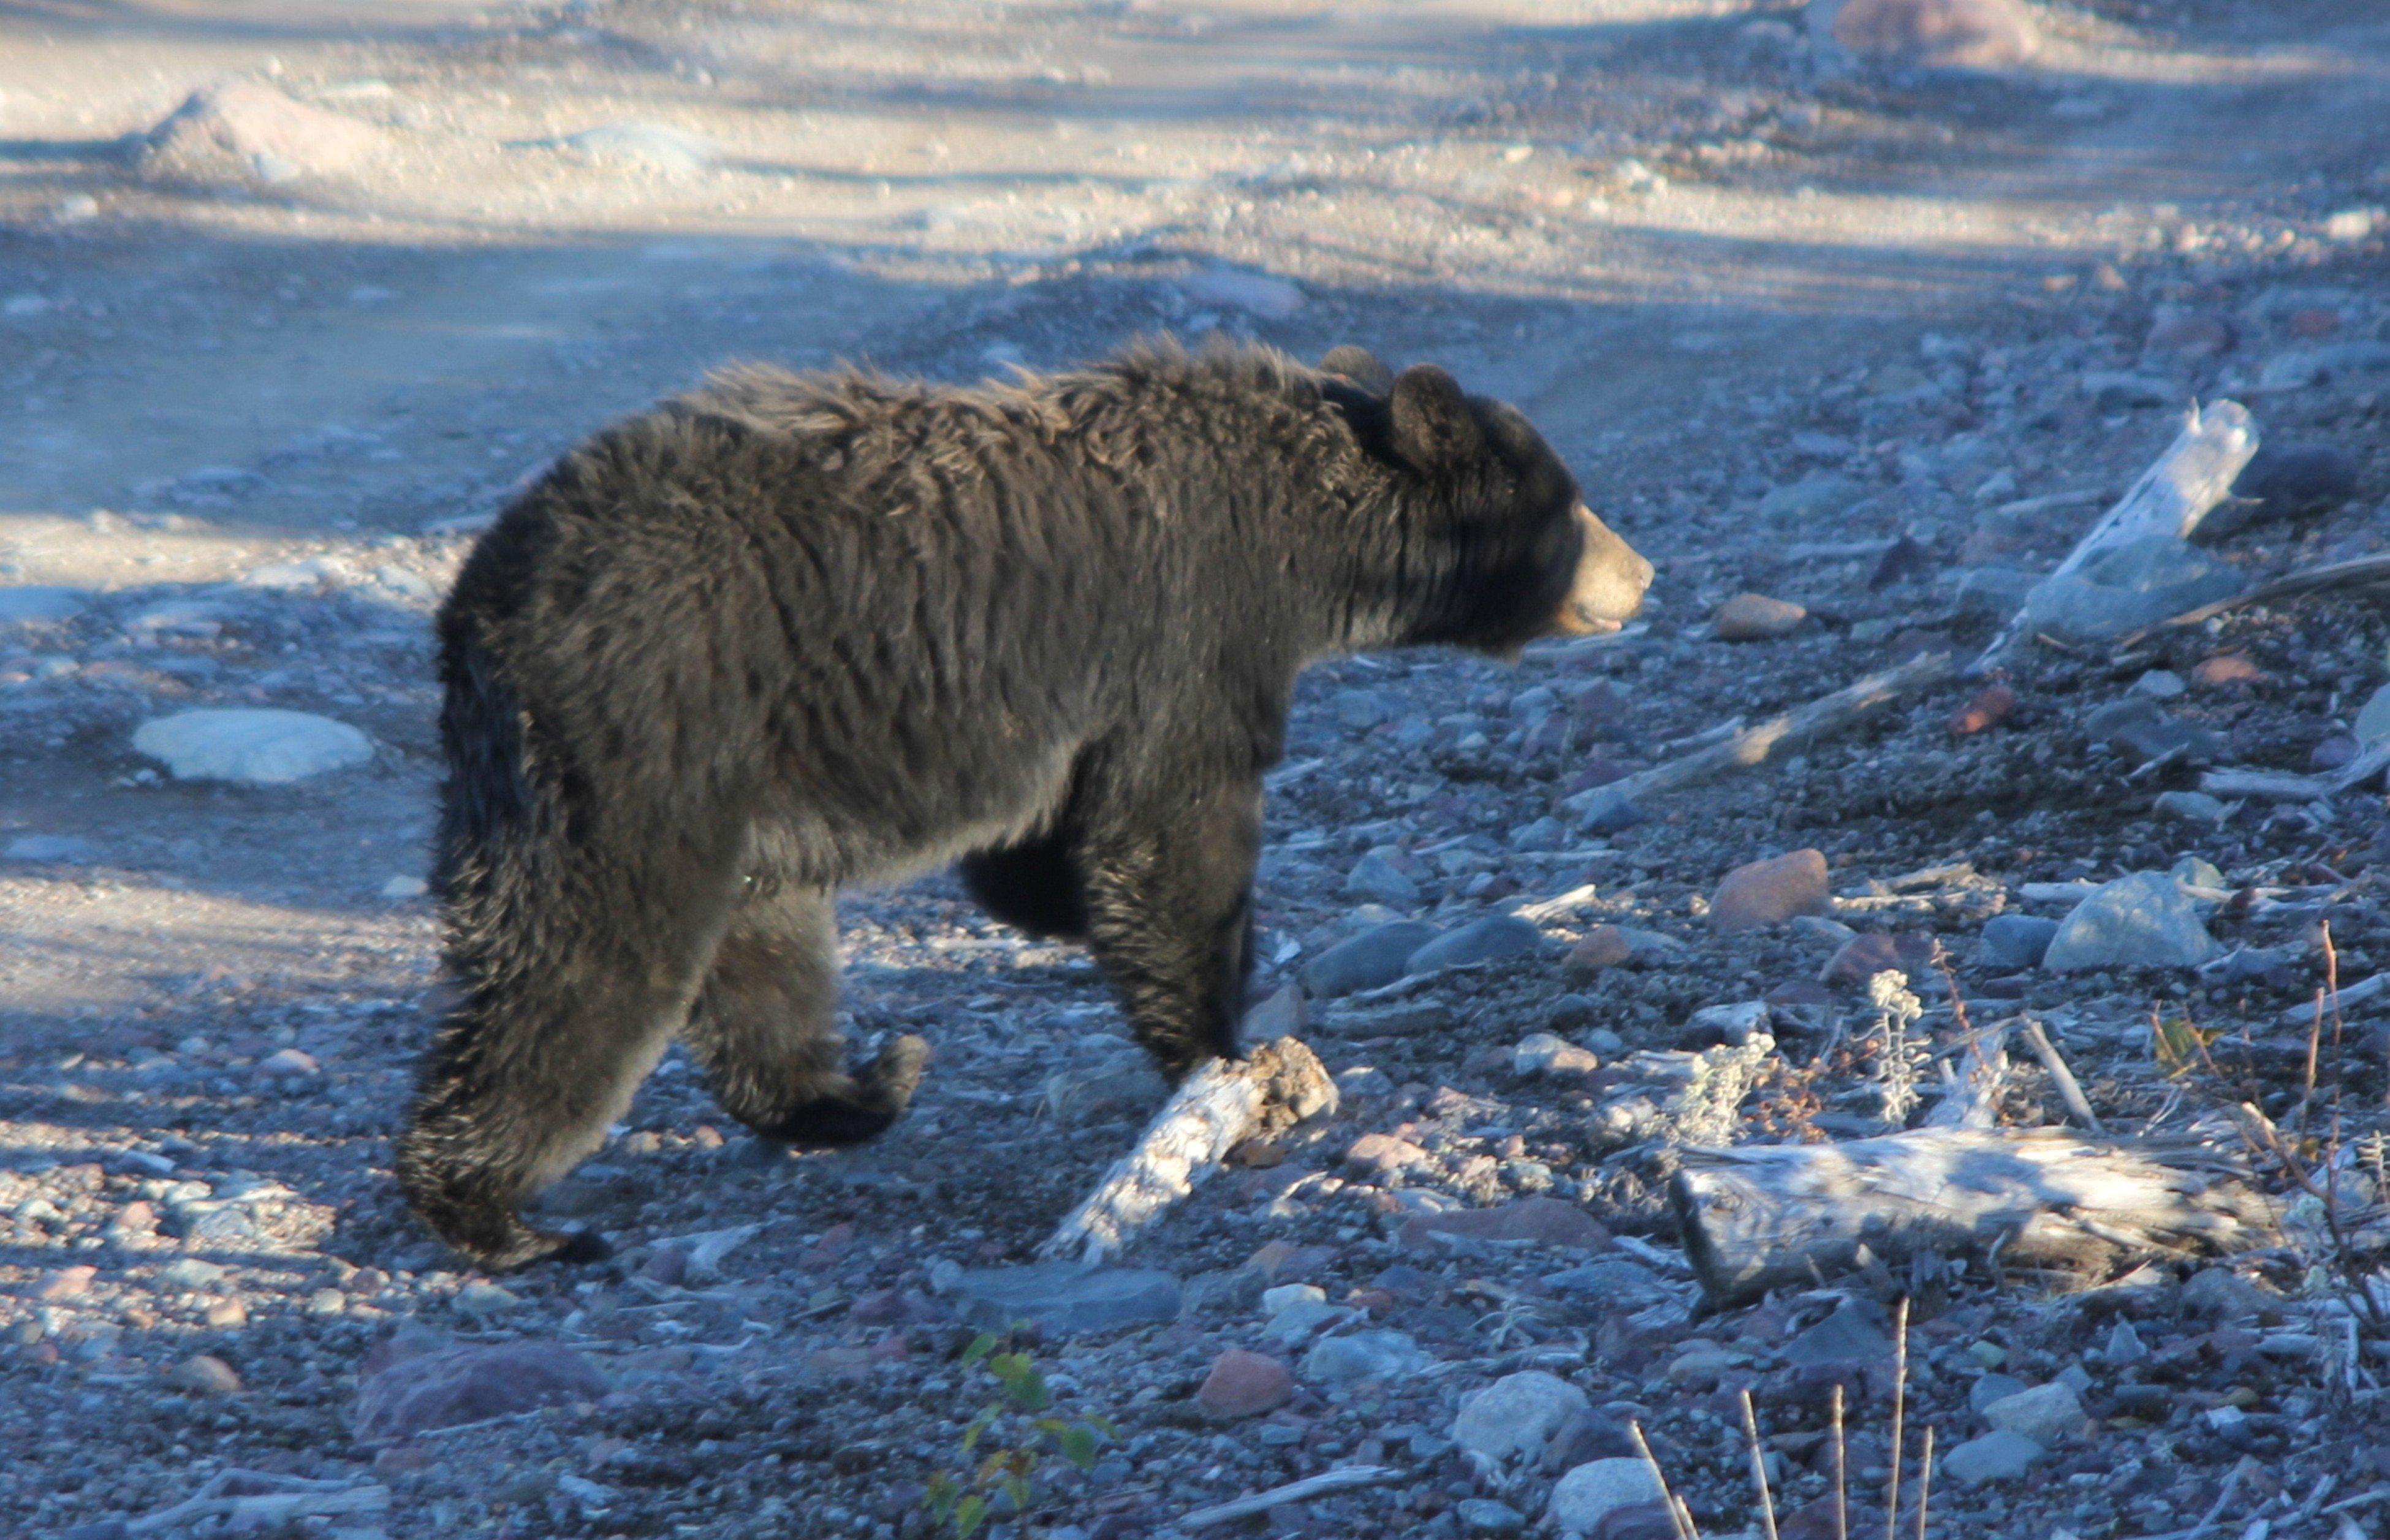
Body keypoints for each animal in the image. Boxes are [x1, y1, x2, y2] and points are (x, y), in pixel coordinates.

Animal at [401, 342, 1653, 1272]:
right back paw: (496, 1215)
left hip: (720, 770)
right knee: (587, 957)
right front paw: (1227, 1055)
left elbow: (1054, 845)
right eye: (1573, 504)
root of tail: (480, 603)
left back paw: (862, 1086)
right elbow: (1169, 830)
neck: (1302, 532)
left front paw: (1060, 914)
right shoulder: (1191, 629)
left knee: (760, 951)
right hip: (650, 728)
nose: (1641, 572)